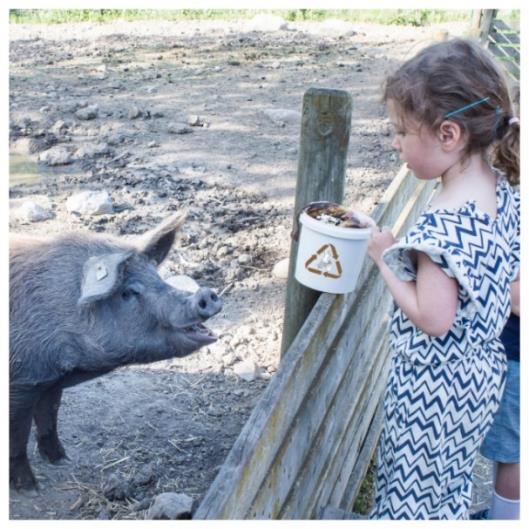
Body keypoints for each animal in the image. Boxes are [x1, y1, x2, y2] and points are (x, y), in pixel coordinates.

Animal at [10, 208, 221, 488]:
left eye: (158, 278)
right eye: (128, 292)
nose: (205, 294)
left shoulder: (49, 379)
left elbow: (49, 418)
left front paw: (62, 460)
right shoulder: (22, 382)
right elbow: (16, 439)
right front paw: (31, 488)